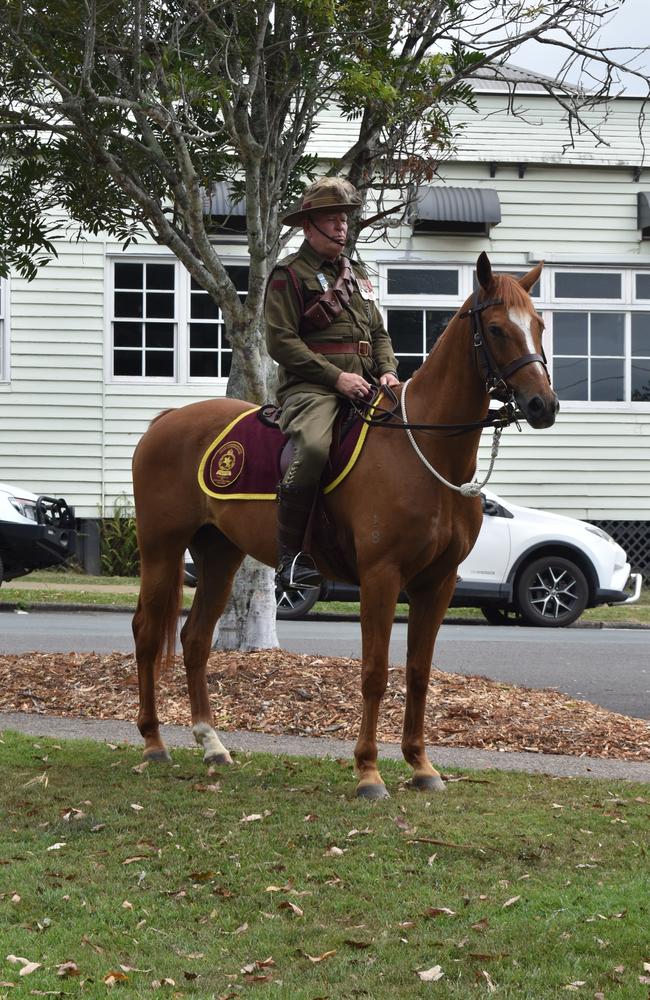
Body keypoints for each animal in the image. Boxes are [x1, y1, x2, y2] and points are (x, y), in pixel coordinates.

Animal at [130, 254, 556, 800]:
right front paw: (369, 772)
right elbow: (374, 673)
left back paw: (212, 744)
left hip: (220, 556)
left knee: (195, 639)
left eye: (539, 325)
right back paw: (153, 743)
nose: (544, 405)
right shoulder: (381, 576)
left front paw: (421, 766)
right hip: (161, 549)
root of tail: (166, 420)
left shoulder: (438, 583)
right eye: (499, 329)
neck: (422, 449)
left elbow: (418, 672)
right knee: (147, 633)